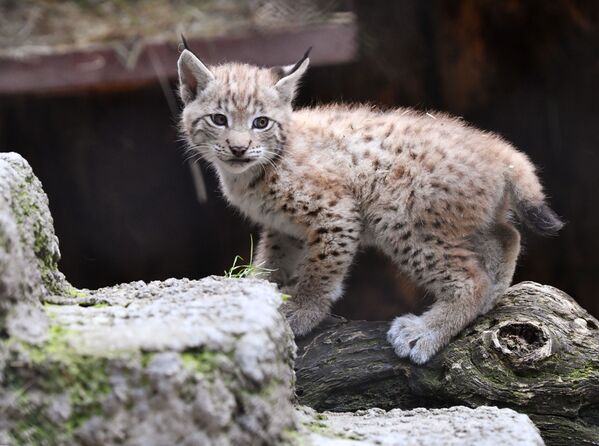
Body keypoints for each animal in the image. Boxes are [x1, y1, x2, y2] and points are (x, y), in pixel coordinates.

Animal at [177, 47, 564, 364]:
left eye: (261, 123)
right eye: (219, 119)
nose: (239, 148)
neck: (252, 171)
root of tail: (497, 149)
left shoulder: (337, 211)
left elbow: (320, 271)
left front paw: (301, 312)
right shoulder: (283, 227)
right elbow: (273, 262)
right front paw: (260, 290)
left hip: (397, 216)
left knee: (473, 277)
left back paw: (427, 331)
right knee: (508, 234)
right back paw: (492, 295)